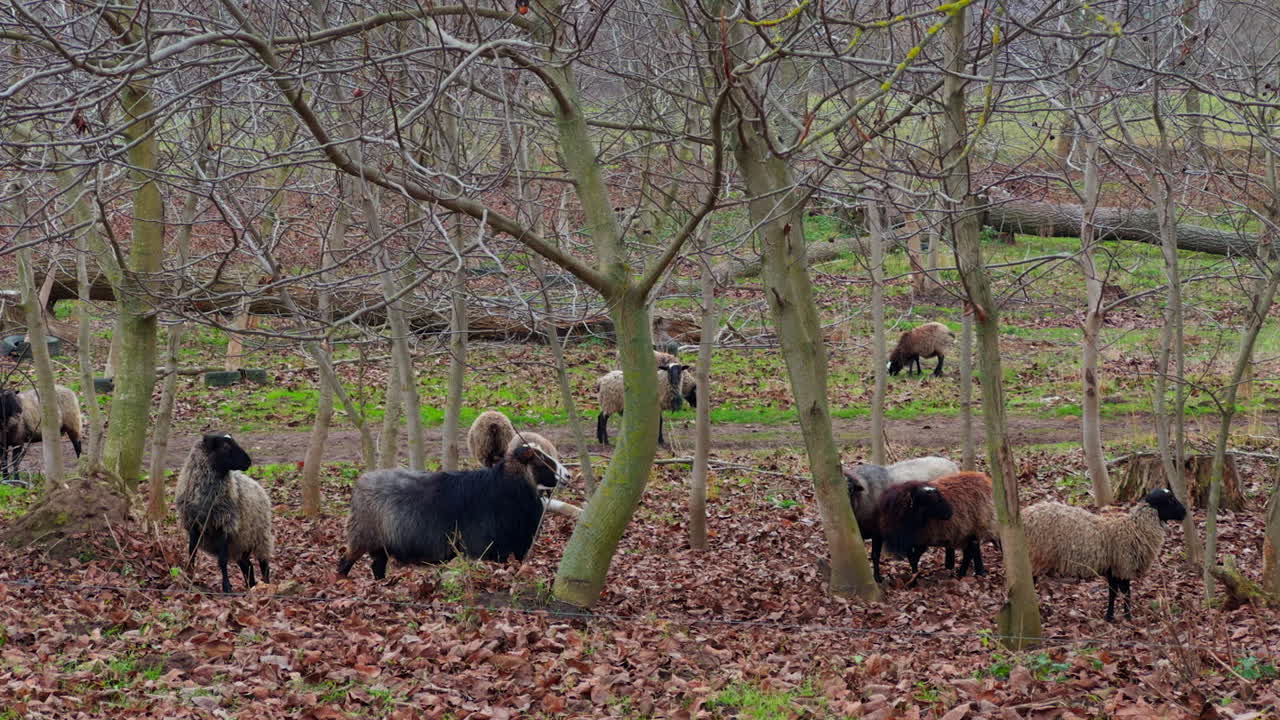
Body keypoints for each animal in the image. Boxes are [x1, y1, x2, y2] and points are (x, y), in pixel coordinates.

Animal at [174, 434, 274, 593]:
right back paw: (251, 586)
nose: (249, 462)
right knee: (248, 566)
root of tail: (258, 486)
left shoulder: (225, 525)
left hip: (260, 536)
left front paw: (226, 587)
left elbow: (222, 560)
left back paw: (266, 585)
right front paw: (189, 576)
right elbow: (192, 552)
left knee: (264, 564)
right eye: (225, 446)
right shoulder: (193, 526)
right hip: (240, 542)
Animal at [337, 441, 571, 579]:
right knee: (345, 562)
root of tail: (361, 483)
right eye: (542, 460)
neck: (507, 487)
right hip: (362, 536)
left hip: (380, 544)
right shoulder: (492, 549)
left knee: (376, 566)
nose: (567, 475)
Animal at [1022, 488, 1187, 621]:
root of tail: (1026, 515)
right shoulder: (1123, 567)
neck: (1135, 529)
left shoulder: (1114, 568)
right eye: (1170, 500)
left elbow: (1113, 593)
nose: (1185, 513)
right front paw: (1127, 617)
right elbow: (1126, 593)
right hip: (1036, 557)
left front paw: (1111, 616)